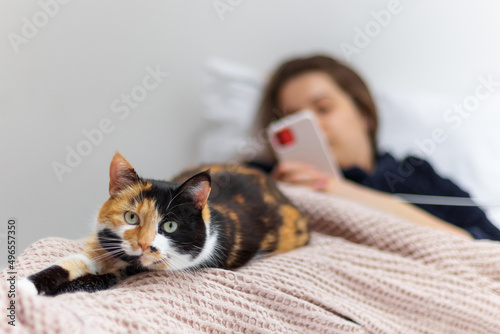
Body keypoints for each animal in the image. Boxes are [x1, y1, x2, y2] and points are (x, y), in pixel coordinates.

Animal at [18, 151, 308, 294]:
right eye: (131, 217)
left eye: (170, 226)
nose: (144, 244)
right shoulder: (100, 249)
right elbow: (66, 265)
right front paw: (25, 286)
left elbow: (92, 281)